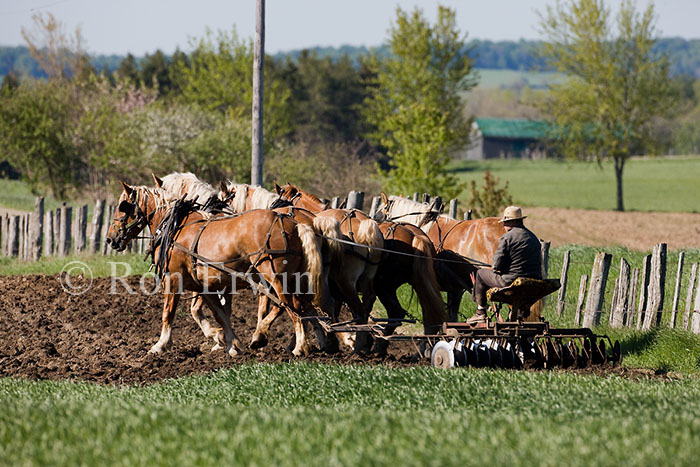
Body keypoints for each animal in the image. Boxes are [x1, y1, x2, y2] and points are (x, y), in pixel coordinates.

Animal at [105, 182, 325, 357]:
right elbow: (219, 314)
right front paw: (230, 343)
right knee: (303, 306)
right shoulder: (206, 286)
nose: (110, 239)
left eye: (122, 208)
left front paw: (160, 345)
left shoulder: (173, 278)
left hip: (275, 276)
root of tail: (294, 223)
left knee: (291, 306)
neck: (176, 226)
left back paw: (298, 346)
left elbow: (168, 312)